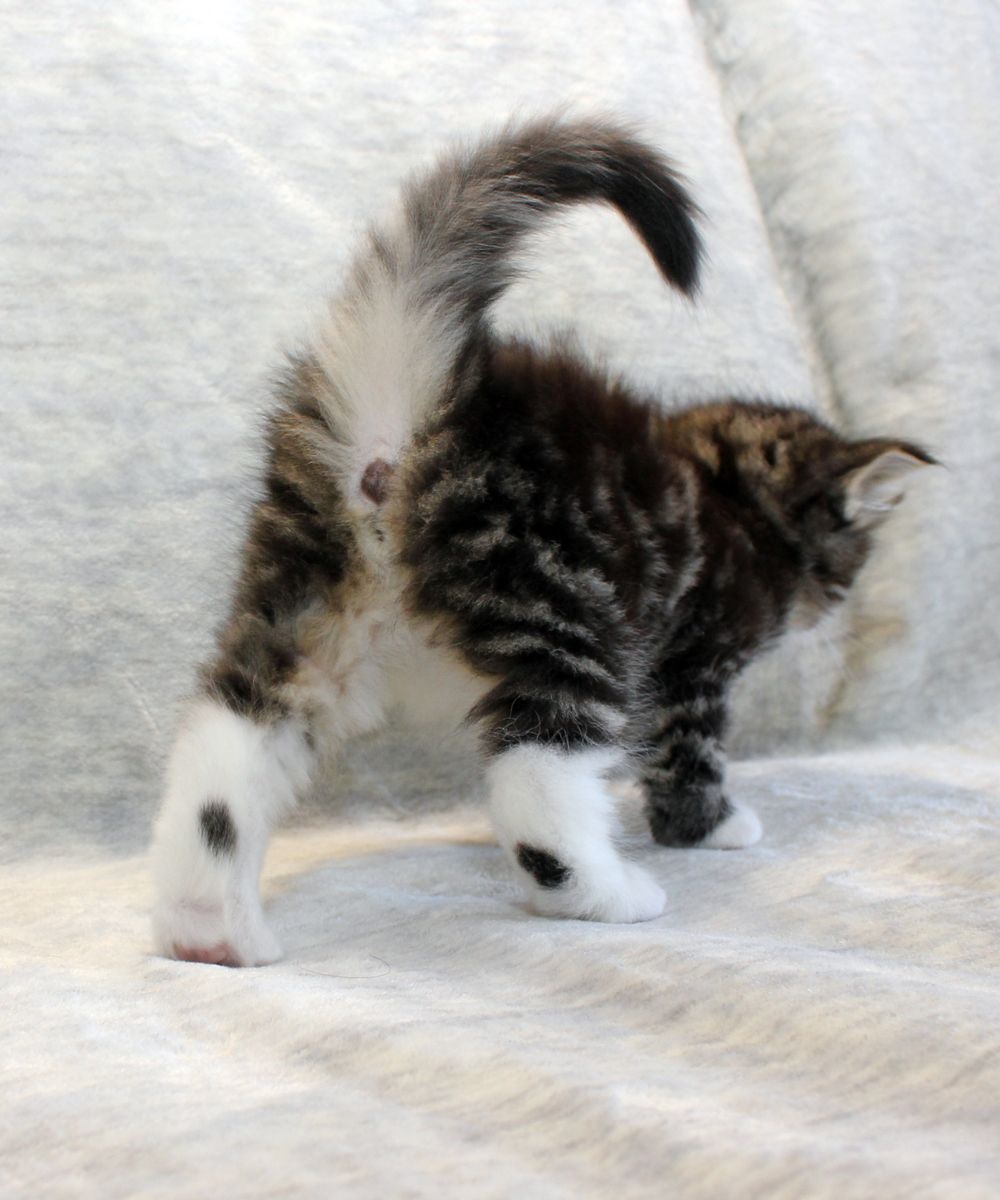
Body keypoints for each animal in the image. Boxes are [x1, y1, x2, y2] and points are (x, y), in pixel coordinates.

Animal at [150, 115, 933, 966]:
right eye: (849, 566)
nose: (833, 610)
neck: (724, 487)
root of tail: (422, 400)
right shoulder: (690, 663)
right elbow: (687, 752)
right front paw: (711, 827)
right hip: (560, 605)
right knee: (537, 773)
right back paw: (606, 893)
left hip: (313, 592)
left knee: (227, 740)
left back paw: (208, 928)